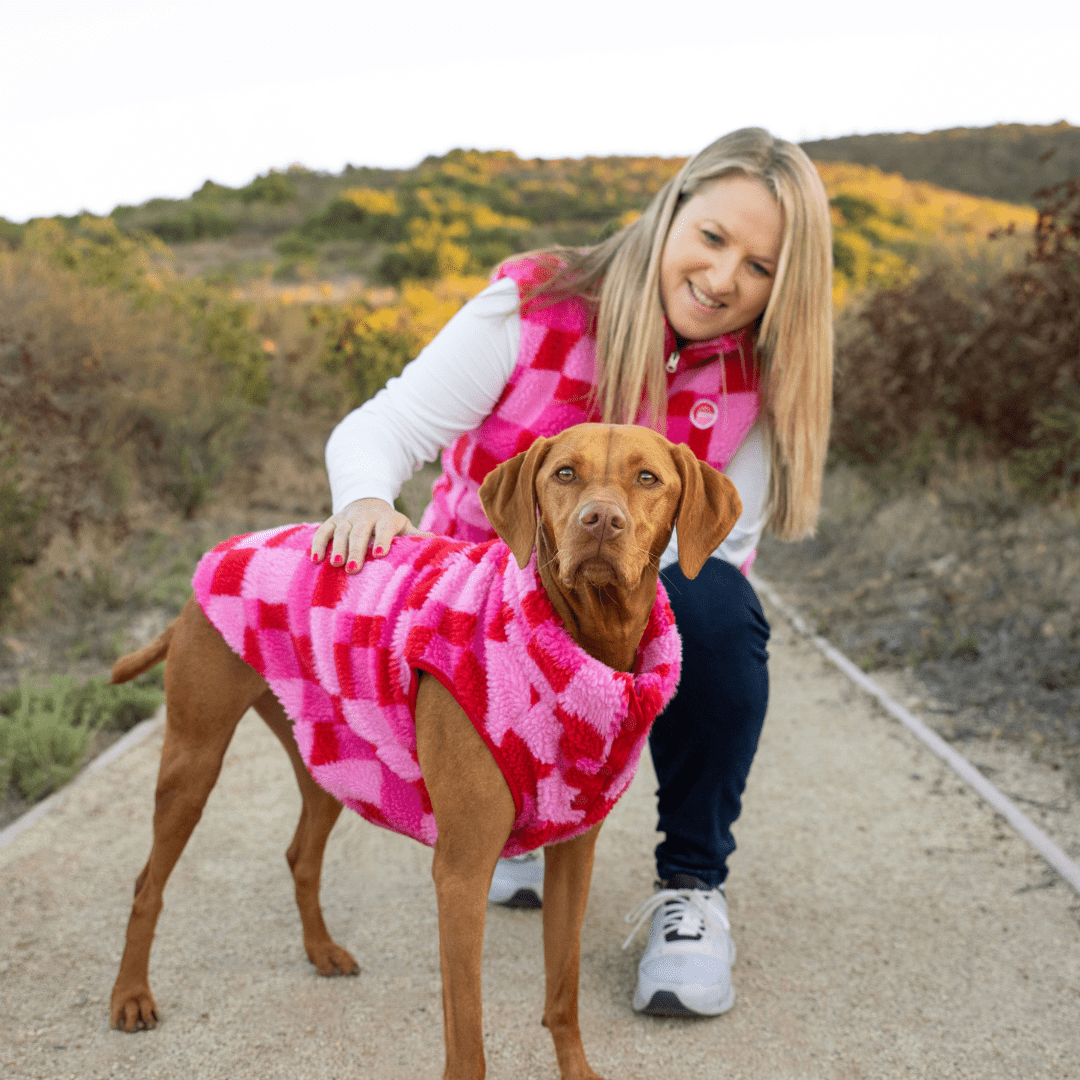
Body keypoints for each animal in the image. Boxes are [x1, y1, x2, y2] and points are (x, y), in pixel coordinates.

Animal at [109, 421, 743, 1080]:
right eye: (565, 473)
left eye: (648, 478)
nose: (600, 521)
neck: (581, 646)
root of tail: (218, 554)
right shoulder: (461, 874)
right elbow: (467, 1038)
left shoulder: (574, 856)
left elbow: (562, 990)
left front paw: (577, 1070)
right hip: (194, 761)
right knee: (147, 884)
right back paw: (131, 995)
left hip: (334, 752)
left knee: (301, 855)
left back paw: (320, 949)